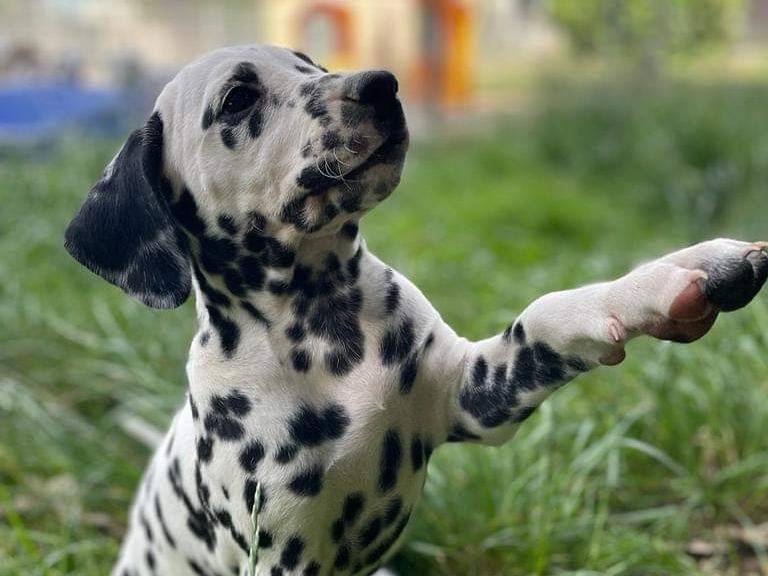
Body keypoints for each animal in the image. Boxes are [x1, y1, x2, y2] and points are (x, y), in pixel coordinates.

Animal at [64, 44, 768, 576]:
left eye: (311, 62)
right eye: (238, 97)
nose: (381, 84)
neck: (323, 324)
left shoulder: (478, 393)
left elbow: (550, 313)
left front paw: (684, 272)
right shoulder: (284, 553)